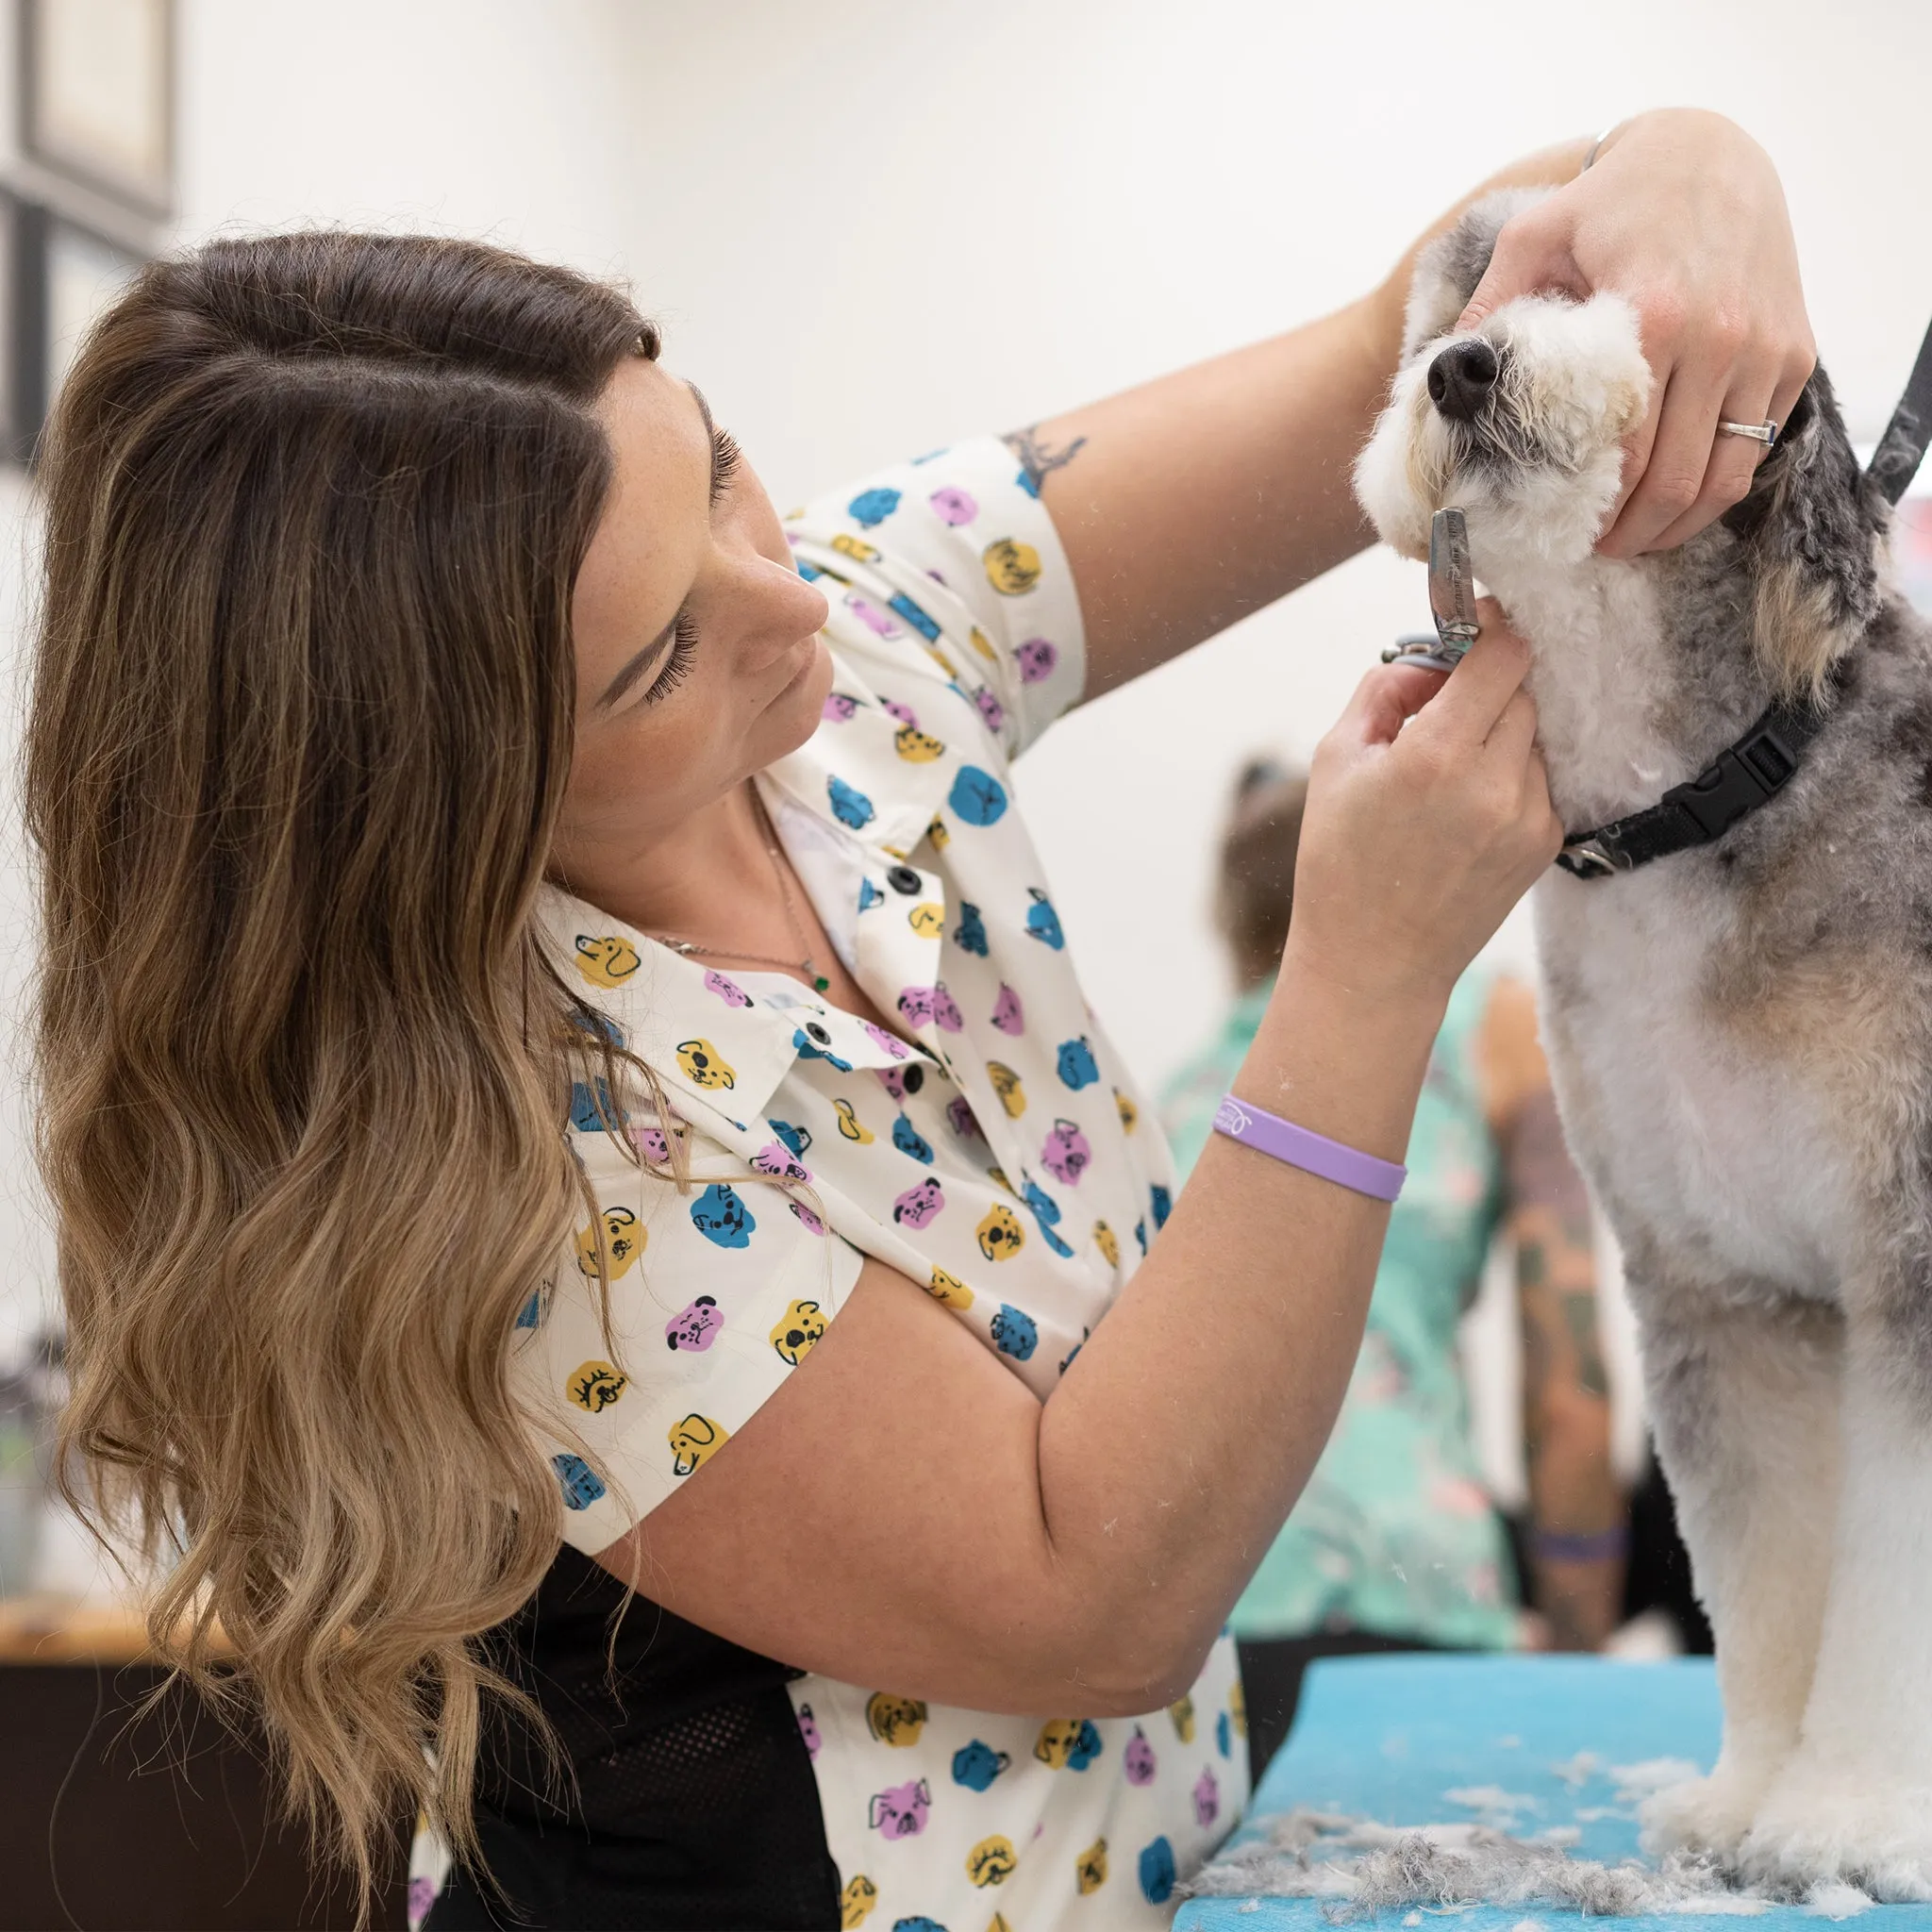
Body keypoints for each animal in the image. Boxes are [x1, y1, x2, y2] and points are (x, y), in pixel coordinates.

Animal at [1352, 188, 1932, 1893]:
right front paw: (1748, 1798)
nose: (1464, 368)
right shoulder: (1714, 1294)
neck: (1696, 806)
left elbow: (1890, 1577)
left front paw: (1853, 1814)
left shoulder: (1910, 1262)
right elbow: (1769, 1574)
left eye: (1589, 277)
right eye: (1458, 300)